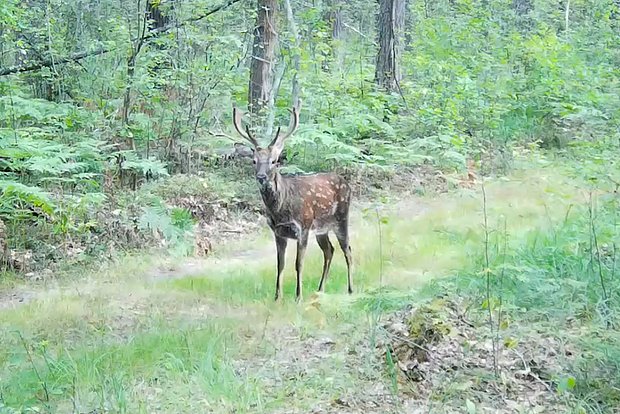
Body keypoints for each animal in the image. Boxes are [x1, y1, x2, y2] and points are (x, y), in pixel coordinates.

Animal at [231, 105, 352, 302]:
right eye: (254, 161)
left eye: (274, 161)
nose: (261, 177)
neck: (281, 208)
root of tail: (346, 182)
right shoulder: (278, 232)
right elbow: (280, 264)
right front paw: (277, 296)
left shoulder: (302, 227)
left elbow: (298, 264)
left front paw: (298, 297)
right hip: (321, 229)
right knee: (329, 251)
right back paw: (320, 289)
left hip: (342, 217)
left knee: (347, 249)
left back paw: (350, 289)